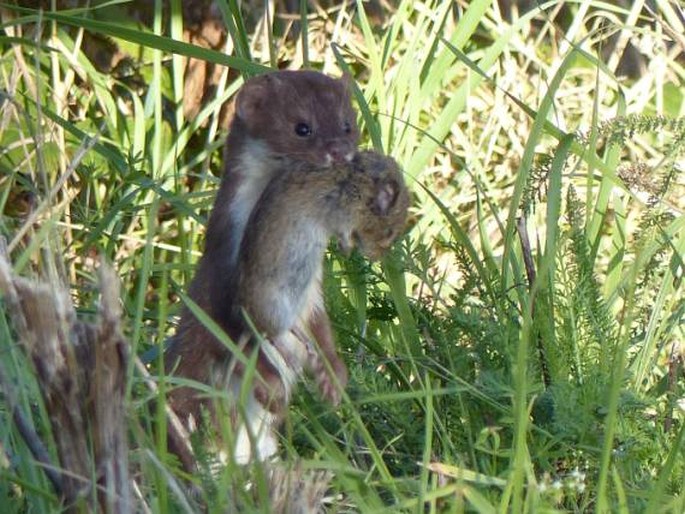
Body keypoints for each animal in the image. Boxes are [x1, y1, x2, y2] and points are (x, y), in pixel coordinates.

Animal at [165, 69, 358, 440]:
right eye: (302, 127)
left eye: (346, 124)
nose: (340, 152)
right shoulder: (229, 282)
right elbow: (233, 344)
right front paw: (271, 391)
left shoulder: (311, 288)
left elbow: (320, 328)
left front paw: (333, 378)